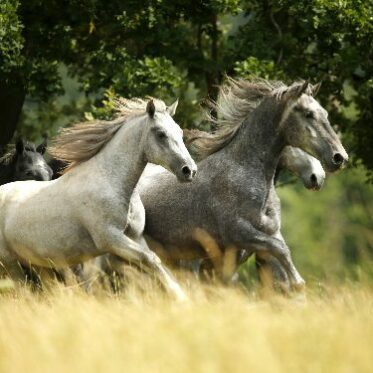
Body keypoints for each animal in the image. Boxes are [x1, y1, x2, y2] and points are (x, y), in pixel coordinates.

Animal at [0, 96, 198, 300]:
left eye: (180, 131)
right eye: (160, 134)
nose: (189, 170)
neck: (109, 181)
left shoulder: (135, 237)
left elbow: (152, 264)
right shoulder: (110, 238)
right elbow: (150, 259)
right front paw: (180, 297)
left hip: (38, 263)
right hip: (11, 263)